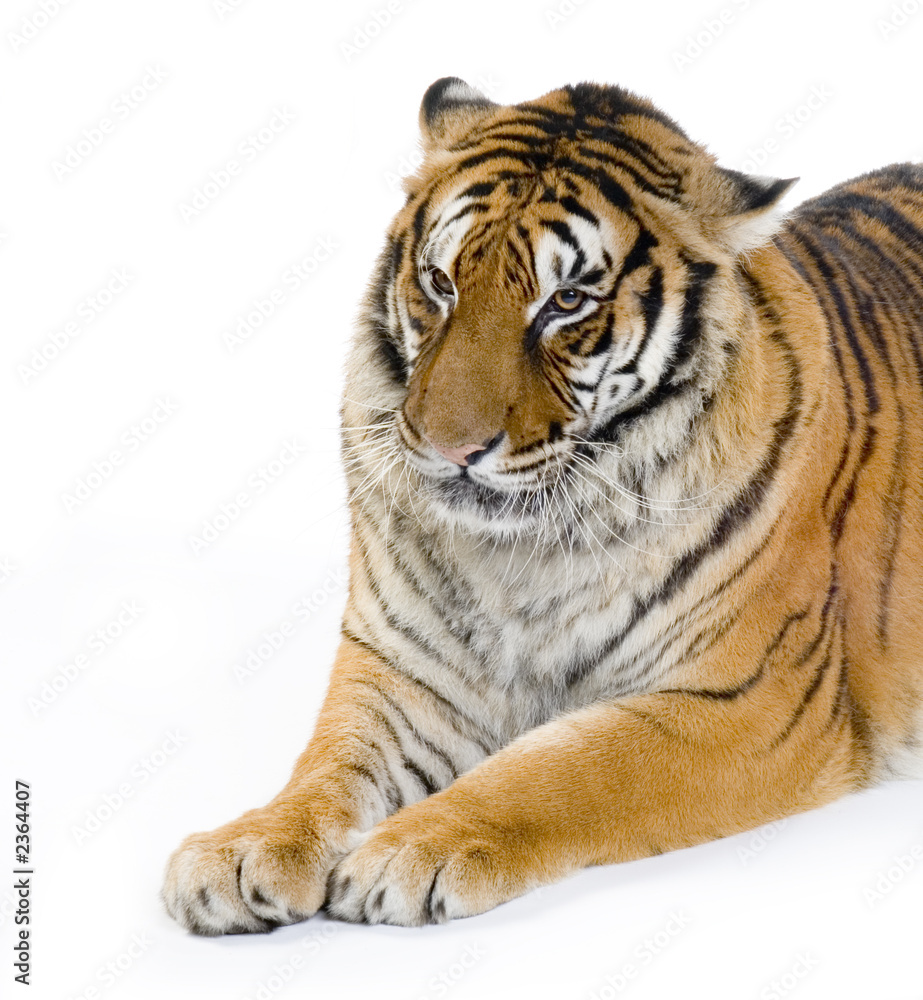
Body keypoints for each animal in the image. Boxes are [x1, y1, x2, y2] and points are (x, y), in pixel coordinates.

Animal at [163, 77, 923, 933]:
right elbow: (328, 767)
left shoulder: (752, 699)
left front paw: (408, 851)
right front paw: (244, 849)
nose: (451, 447)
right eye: (440, 283)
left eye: (565, 302)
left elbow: (564, 768)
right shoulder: (398, 670)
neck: (520, 550)